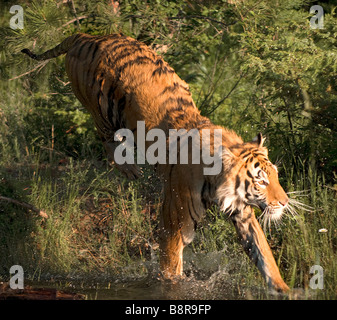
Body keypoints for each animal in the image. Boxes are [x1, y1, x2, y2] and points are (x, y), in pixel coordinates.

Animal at [21, 32, 288, 292]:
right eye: (261, 181)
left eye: (275, 176)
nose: (285, 202)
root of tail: (86, 37)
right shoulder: (175, 222)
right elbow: (171, 269)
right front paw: (172, 287)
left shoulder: (243, 213)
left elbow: (264, 256)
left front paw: (283, 289)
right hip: (100, 110)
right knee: (106, 137)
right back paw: (129, 168)